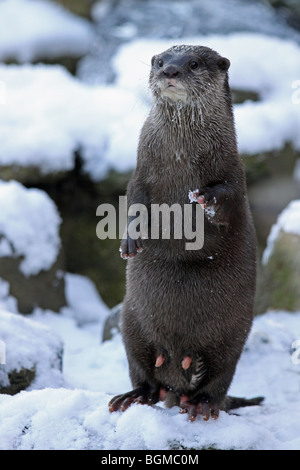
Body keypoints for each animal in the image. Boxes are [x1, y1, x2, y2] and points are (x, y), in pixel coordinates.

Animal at [108, 44, 262, 420]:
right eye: (161, 61)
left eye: (193, 63)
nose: (171, 71)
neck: (180, 157)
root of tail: (178, 371)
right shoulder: (141, 172)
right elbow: (134, 202)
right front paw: (130, 241)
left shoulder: (234, 171)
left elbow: (229, 199)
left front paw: (205, 198)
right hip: (131, 325)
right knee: (144, 373)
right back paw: (133, 395)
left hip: (233, 338)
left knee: (219, 380)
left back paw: (202, 404)